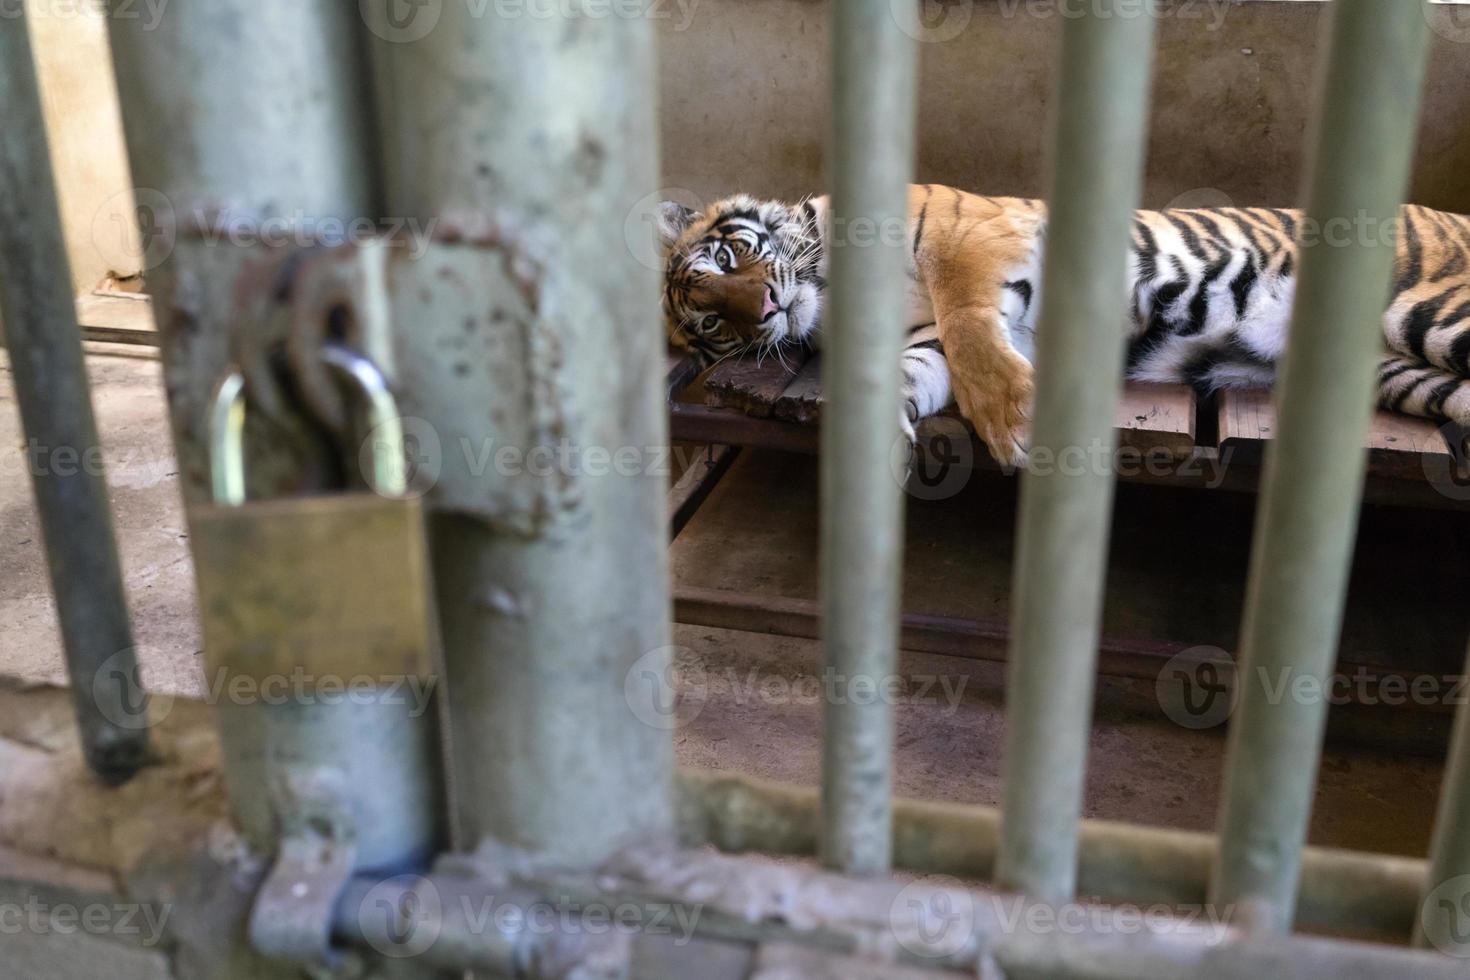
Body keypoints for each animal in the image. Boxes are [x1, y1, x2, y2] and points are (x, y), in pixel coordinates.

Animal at [661, 185, 1470, 467]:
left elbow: (970, 326)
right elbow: (918, 368)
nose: (765, 310)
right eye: (716, 326)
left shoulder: (970, 240)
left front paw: (1016, 423)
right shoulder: (921, 342)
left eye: (728, 256)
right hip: (1408, 373)